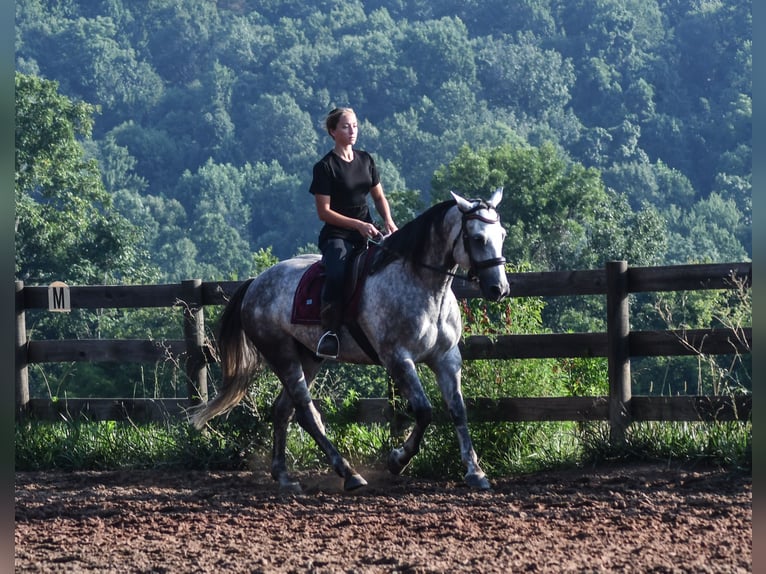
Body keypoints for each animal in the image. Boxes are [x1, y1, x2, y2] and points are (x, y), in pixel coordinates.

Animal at [191, 188, 510, 491]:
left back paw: (284, 476)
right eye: (478, 238)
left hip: (308, 358)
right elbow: (424, 411)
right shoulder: (398, 359)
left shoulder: (446, 358)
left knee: (283, 410)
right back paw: (348, 473)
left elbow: (458, 410)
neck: (423, 285)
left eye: (502, 235)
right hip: (282, 356)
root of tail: (255, 283)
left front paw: (475, 472)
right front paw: (397, 460)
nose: (500, 289)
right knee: (306, 413)